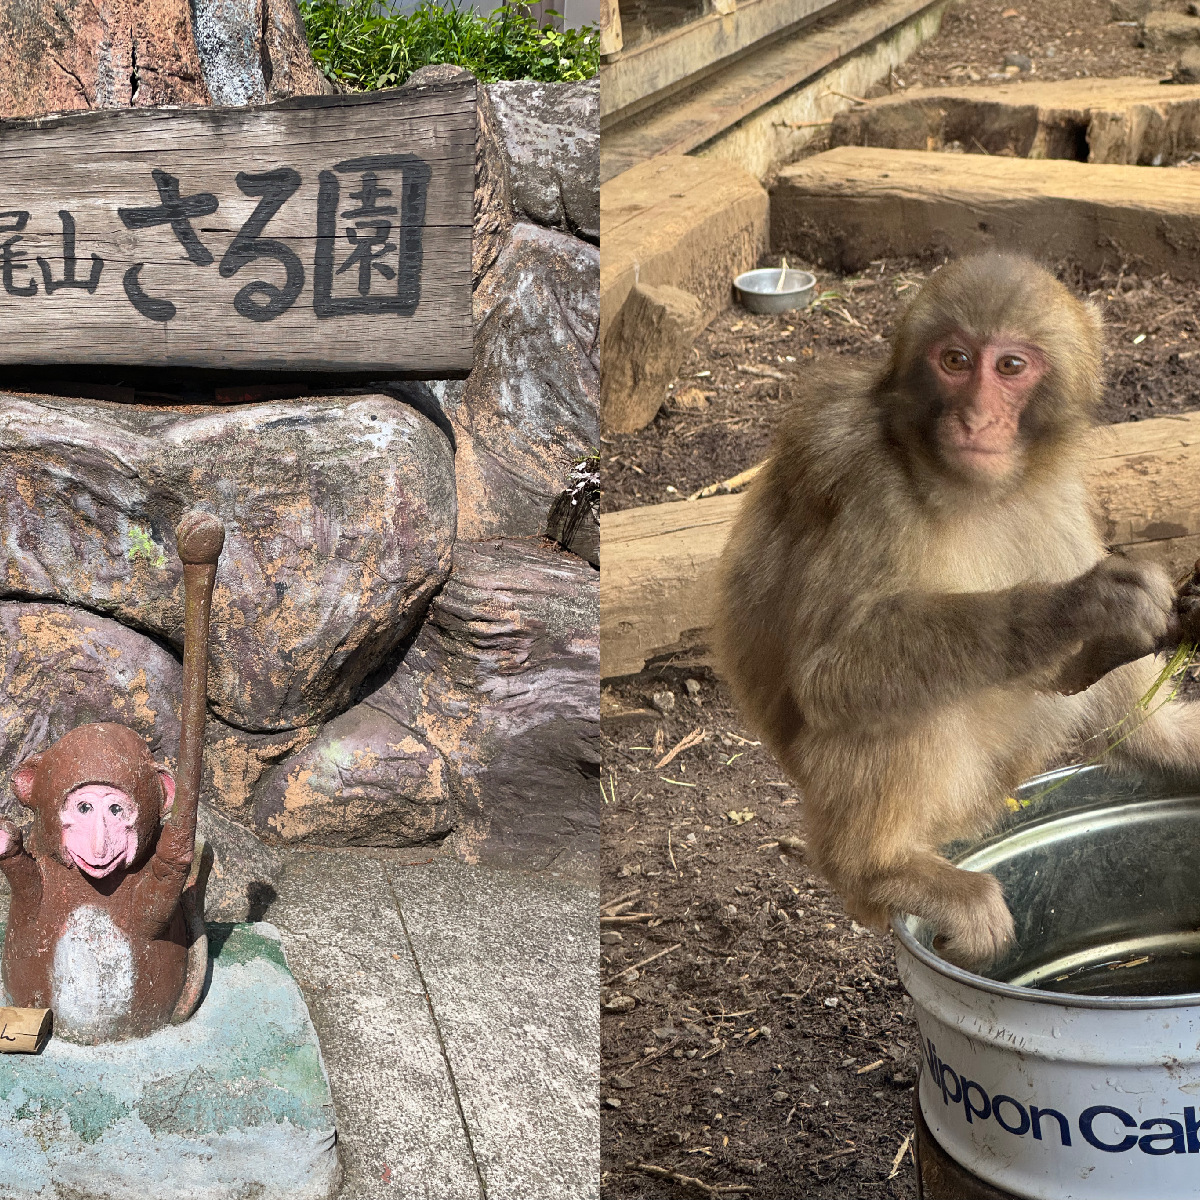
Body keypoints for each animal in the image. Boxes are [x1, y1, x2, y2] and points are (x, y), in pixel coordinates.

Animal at [0, 511, 224, 1036]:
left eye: (117, 810)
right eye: (83, 807)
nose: (101, 845)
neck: (94, 890)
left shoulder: (151, 905)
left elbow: (165, 882)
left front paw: (181, 849)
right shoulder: (37, 900)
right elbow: (26, 887)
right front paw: (7, 843)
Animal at [710, 253, 1190, 964]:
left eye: (1011, 366)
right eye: (956, 361)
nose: (975, 418)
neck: (965, 488)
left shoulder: (1053, 496)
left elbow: (1085, 682)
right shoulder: (865, 480)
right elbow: (830, 674)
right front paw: (1076, 606)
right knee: (892, 703)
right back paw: (882, 870)